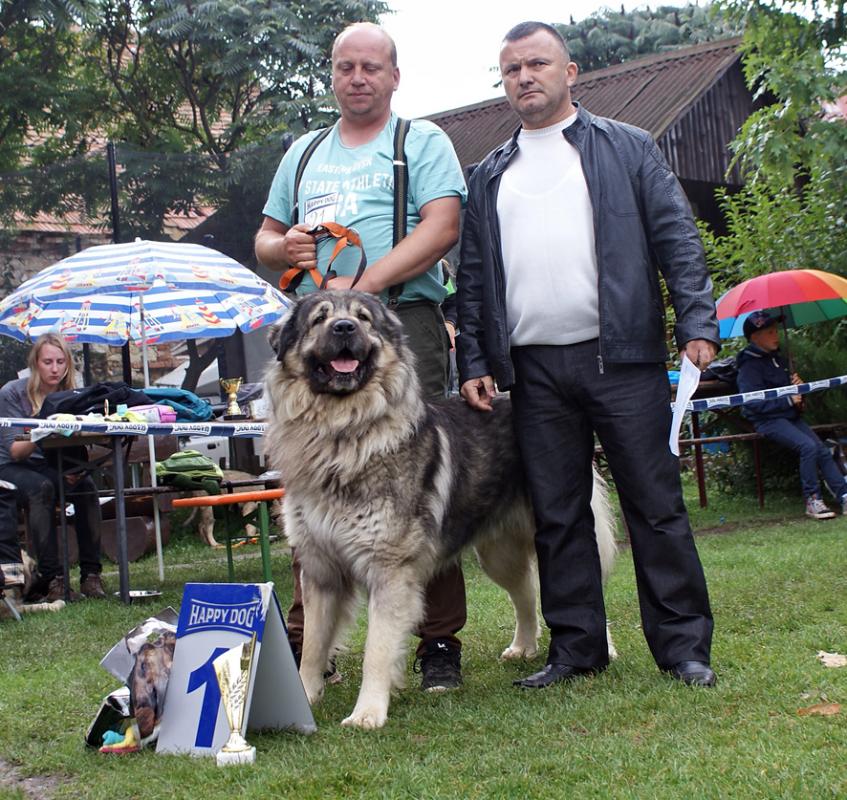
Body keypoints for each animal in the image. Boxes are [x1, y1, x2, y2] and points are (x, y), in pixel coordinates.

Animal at [264, 290, 616, 728]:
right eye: (319, 319)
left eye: (363, 319)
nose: (344, 328)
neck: (342, 432)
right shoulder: (320, 569)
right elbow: (312, 646)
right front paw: (305, 698)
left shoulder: (389, 572)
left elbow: (376, 650)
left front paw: (367, 713)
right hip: (497, 555)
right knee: (526, 592)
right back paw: (524, 646)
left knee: (585, 588)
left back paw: (600, 649)